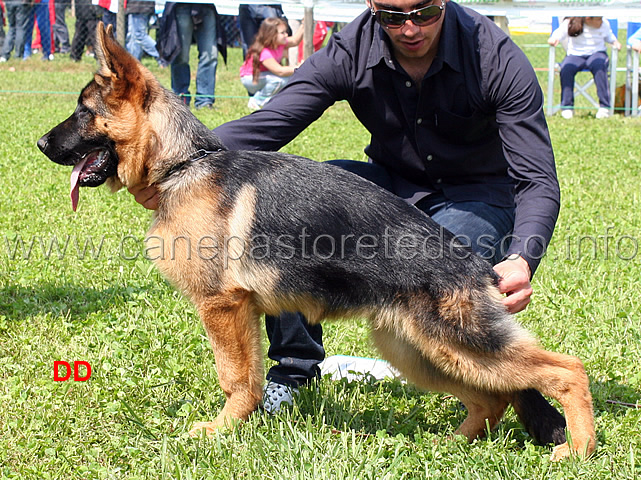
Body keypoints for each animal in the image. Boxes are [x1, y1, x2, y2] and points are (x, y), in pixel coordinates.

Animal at [36, 24, 596, 460]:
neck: (183, 165)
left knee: (566, 370)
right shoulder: (243, 311)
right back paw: (451, 444)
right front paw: (242, 423)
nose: (39, 143)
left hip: (457, 343)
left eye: (84, 111)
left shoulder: (222, 307)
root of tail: (480, 266)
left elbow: (234, 378)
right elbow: (250, 377)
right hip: (415, 349)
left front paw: (219, 431)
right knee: (491, 398)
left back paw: (578, 449)